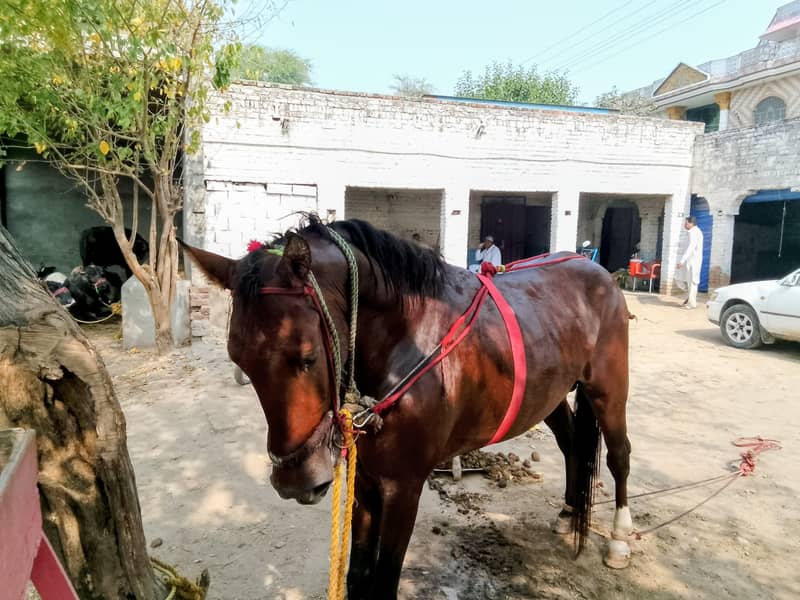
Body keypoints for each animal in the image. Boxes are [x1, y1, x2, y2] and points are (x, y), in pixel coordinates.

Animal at [181, 216, 634, 599]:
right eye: (240, 361)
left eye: (307, 356)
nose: (295, 481)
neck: (408, 340)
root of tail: (597, 271)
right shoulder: (366, 480)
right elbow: (358, 577)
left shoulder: (404, 488)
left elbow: (383, 584)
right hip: (551, 395)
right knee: (573, 445)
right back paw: (568, 513)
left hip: (608, 390)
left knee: (619, 455)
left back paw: (619, 539)